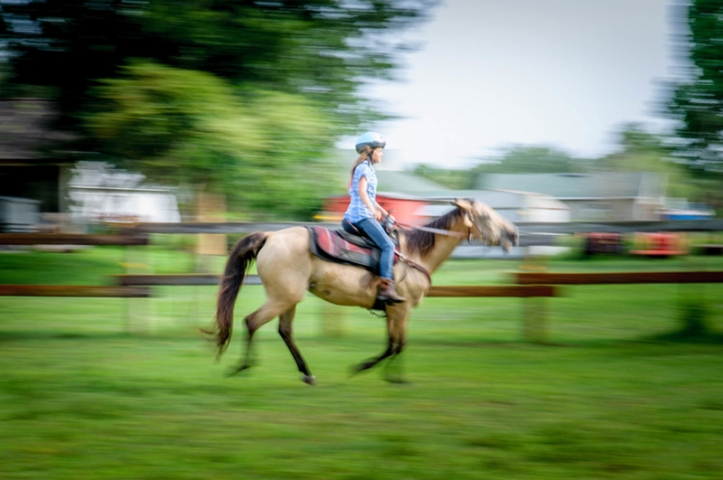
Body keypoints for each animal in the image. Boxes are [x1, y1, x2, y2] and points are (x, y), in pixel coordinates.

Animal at [206, 198, 516, 382]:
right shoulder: (402, 308)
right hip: (283, 297)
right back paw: (242, 367)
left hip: (288, 299)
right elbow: (398, 345)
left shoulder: (392, 309)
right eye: (486, 217)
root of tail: (270, 236)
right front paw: (388, 376)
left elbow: (391, 344)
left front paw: (372, 370)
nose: (514, 235)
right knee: (251, 322)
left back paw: (306, 373)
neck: (414, 253)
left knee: (284, 331)